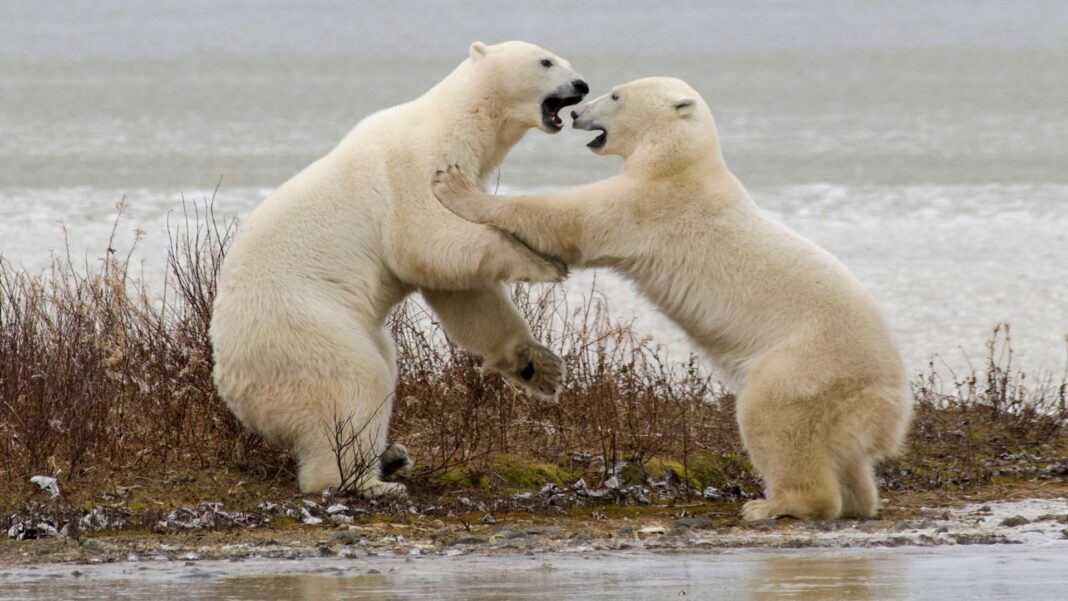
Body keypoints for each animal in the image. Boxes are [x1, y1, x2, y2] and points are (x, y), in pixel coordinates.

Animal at [210, 41, 588, 497]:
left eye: (565, 60)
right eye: (546, 61)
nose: (582, 84)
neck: (455, 123)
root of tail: (231, 385)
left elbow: (462, 293)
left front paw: (538, 364)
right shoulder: (413, 171)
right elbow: (427, 243)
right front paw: (544, 263)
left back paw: (391, 457)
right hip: (302, 326)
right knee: (356, 380)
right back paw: (365, 480)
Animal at [432, 77, 913, 520]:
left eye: (616, 95)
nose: (576, 113)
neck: (682, 162)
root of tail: (889, 404)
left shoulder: (648, 204)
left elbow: (566, 219)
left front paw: (452, 184)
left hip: (808, 367)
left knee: (775, 418)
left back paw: (776, 504)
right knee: (848, 456)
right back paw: (858, 501)